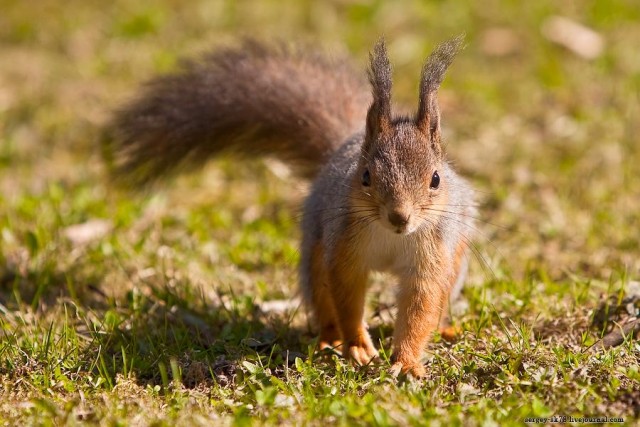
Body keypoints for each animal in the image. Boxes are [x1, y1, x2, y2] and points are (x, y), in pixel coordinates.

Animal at [106, 36, 476, 378]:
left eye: (436, 179)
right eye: (366, 176)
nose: (399, 217)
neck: (392, 236)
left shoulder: (431, 253)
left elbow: (420, 305)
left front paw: (407, 362)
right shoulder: (343, 247)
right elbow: (347, 297)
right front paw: (358, 346)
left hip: (455, 264)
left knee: (439, 302)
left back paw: (444, 327)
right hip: (315, 255)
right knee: (325, 303)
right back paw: (330, 341)